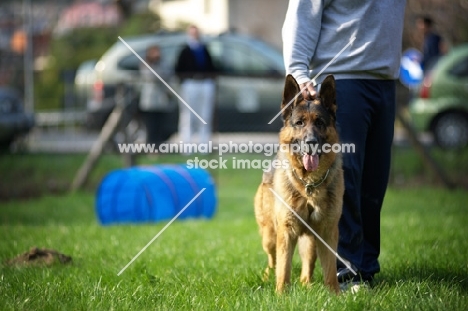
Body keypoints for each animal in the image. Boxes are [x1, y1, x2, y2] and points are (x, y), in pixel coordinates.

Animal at [256, 74, 344, 294]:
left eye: (320, 122)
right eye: (299, 123)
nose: (311, 142)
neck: (309, 186)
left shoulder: (328, 232)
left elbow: (330, 269)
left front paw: (335, 295)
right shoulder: (286, 232)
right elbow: (284, 267)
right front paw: (281, 294)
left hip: (310, 241)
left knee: (307, 267)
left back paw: (307, 284)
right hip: (270, 237)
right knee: (273, 261)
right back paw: (268, 276)